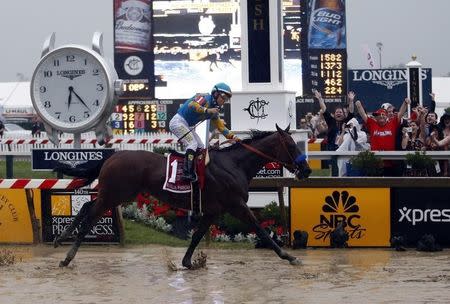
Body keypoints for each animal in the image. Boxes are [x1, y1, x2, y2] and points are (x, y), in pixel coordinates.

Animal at [54, 124, 312, 268]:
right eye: (291, 145)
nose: (307, 170)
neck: (233, 164)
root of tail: (113, 156)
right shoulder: (235, 205)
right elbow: (261, 229)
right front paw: (288, 256)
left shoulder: (213, 210)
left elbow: (197, 235)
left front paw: (189, 262)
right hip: (116, 193)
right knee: (91, 216)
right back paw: (67, 256)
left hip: (116, 194)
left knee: (87, 208)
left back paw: (61, 239)